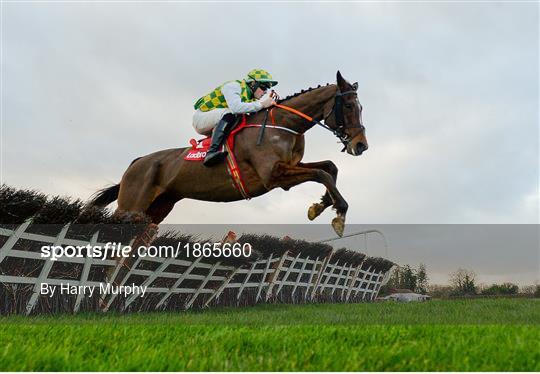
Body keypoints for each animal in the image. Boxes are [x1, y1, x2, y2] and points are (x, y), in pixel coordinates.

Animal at [90, 71, 370, 237]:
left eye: (360, 106)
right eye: (348, 105)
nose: (361, 145)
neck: (283, 124)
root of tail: (135, 163)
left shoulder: (289, 167)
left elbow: (329, 167)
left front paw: (320, 205)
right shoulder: (273, 175)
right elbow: (322, 174)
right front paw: (339, 213)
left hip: (156, 210)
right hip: (131, 206)